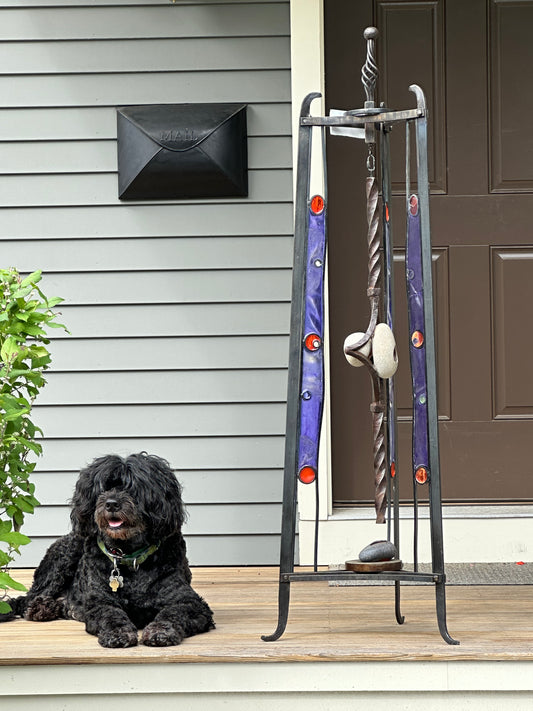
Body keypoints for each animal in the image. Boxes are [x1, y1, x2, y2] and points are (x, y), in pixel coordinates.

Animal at [2, 454, 214, 648]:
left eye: (132, 487)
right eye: (104, 488)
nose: (111, 503)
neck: (129, 557)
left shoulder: (189, 602)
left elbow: (173, 612)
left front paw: (160, 631)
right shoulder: (101, 601)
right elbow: (111, 615)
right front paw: (118, 634)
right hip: (61, 562)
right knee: (25, 599)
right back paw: (38, 607)